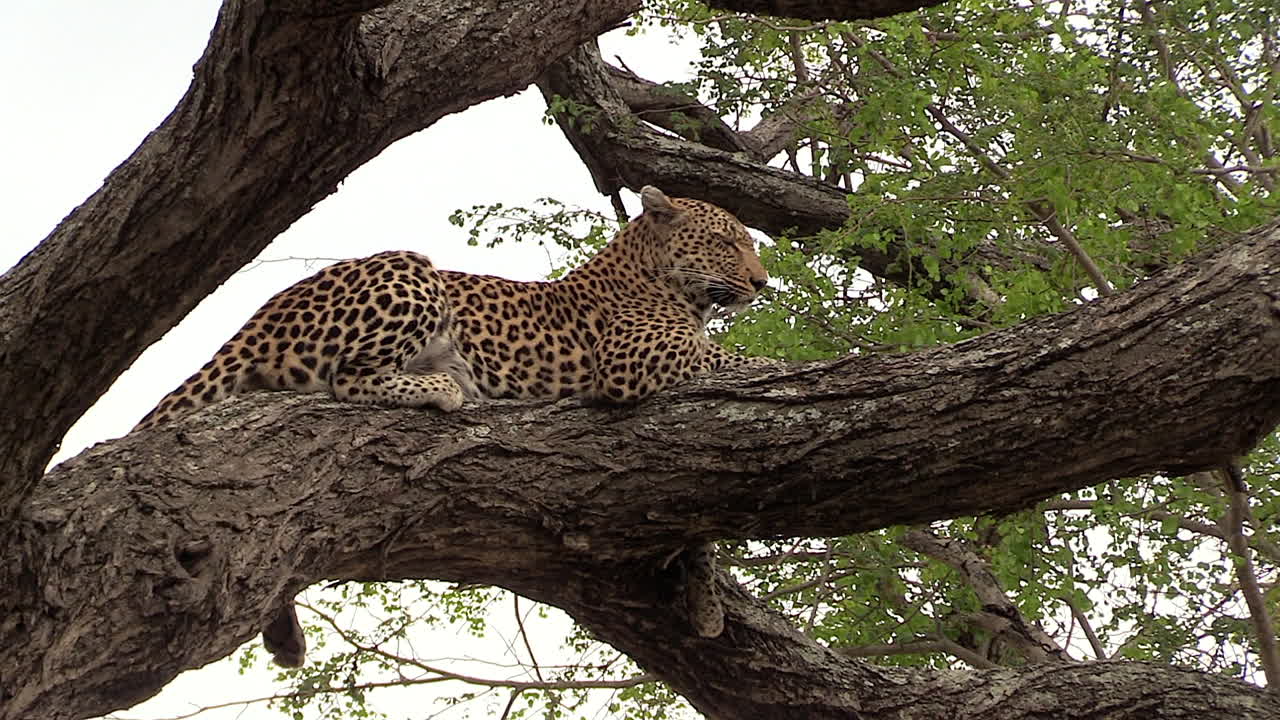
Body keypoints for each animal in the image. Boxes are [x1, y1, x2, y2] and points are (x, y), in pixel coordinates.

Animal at [134, 185, 774, 665]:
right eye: (724, 242)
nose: (762, 282)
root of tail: (261, 314)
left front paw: (706, 602)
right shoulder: (632, 359)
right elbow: (731, 357)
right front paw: (774, 365)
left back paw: (284, 636)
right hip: (410, 271)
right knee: (348, 378)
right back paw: (443, 387)